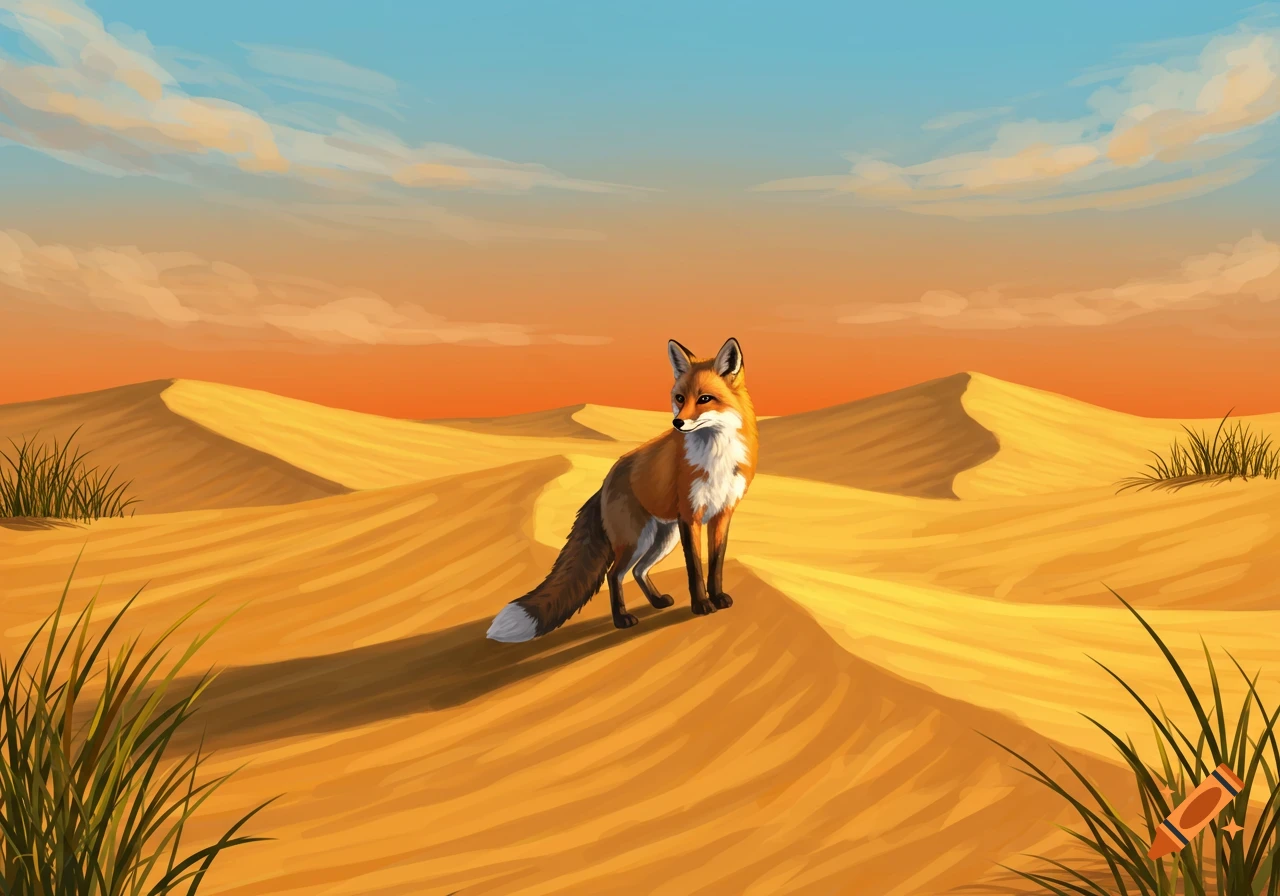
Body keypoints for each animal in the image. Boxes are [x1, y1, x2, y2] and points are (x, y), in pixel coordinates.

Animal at [486, 337, 758, 642]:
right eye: (680, 398)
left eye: (704, 399)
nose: (677, 423)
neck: (716, 457)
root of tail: (606, 480)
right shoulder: (691, 516)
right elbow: (695, 569)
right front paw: (701, 604)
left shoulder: (722, 513)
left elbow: (716, 563)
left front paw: (718, 597)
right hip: (636, 538)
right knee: (614, 574)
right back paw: (622, 619)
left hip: (663, 538)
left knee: (638, 570)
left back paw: (656, 601)